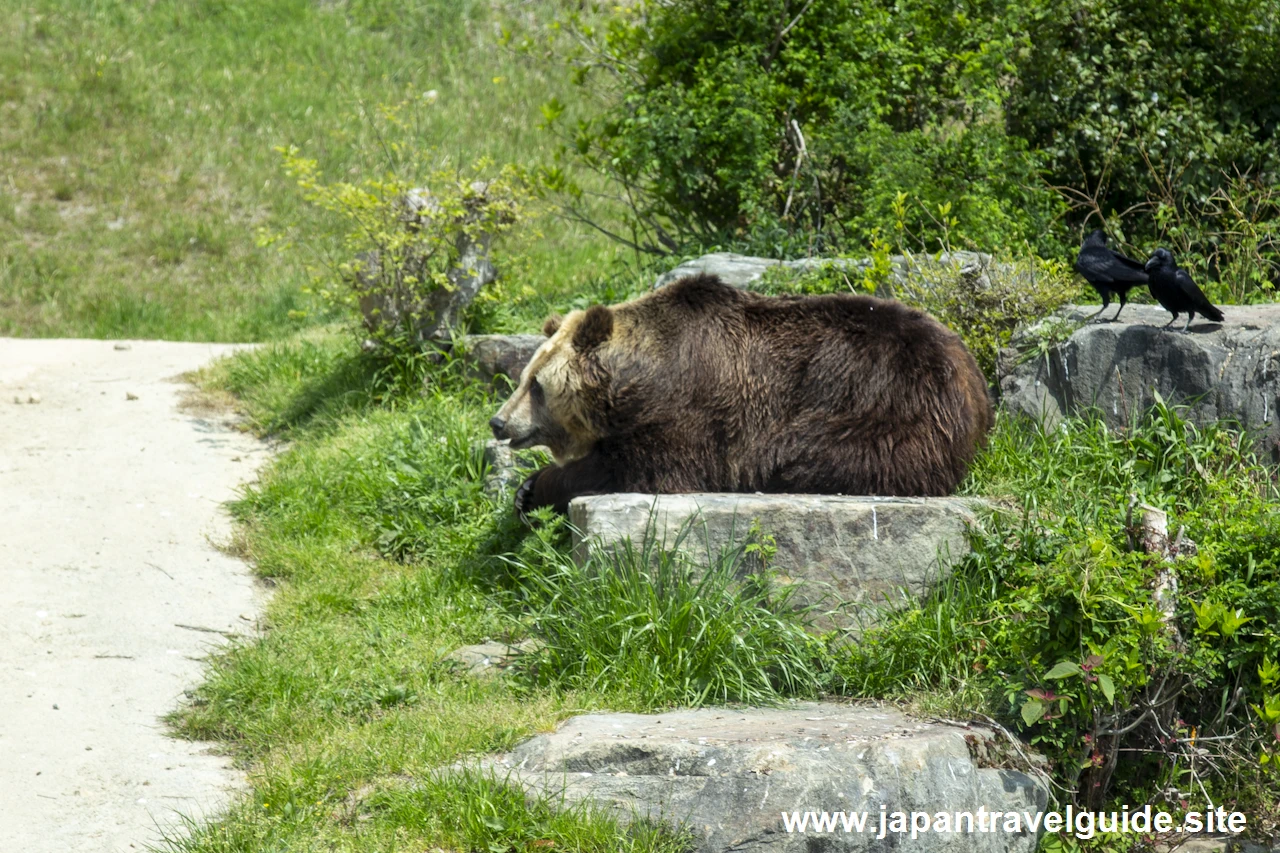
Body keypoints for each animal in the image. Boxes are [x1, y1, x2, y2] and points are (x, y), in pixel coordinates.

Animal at [486, 272, 988, 512]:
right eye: (523, 377)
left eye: (536, 384)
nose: (498, 421)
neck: (637, 380)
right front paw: (525, 489)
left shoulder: (692, 410)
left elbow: (644, 468)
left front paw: (539, 487)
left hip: (883, 401)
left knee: (823, 453)